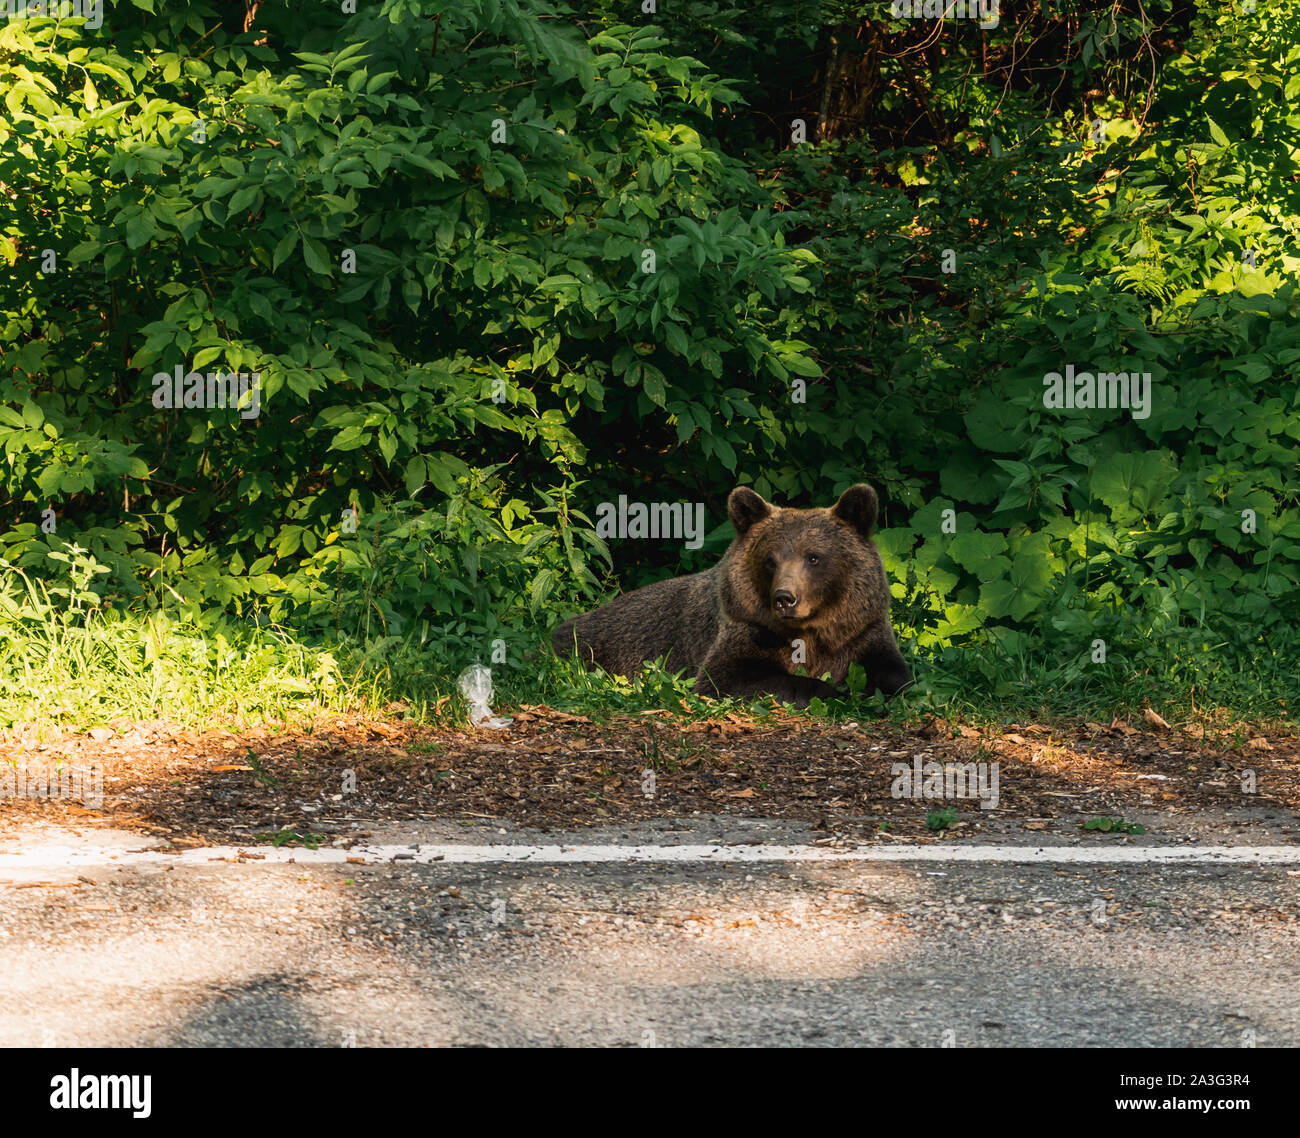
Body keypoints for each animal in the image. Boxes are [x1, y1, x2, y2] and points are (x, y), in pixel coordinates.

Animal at [553, 483, 909, 707]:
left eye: (814, 557)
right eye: (770, 559)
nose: (785, 598)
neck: (811, 629)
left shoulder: (861, 631)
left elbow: (894, 674)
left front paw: (861, 689)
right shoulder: (747, 628)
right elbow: (728, 679)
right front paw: (828, 690)